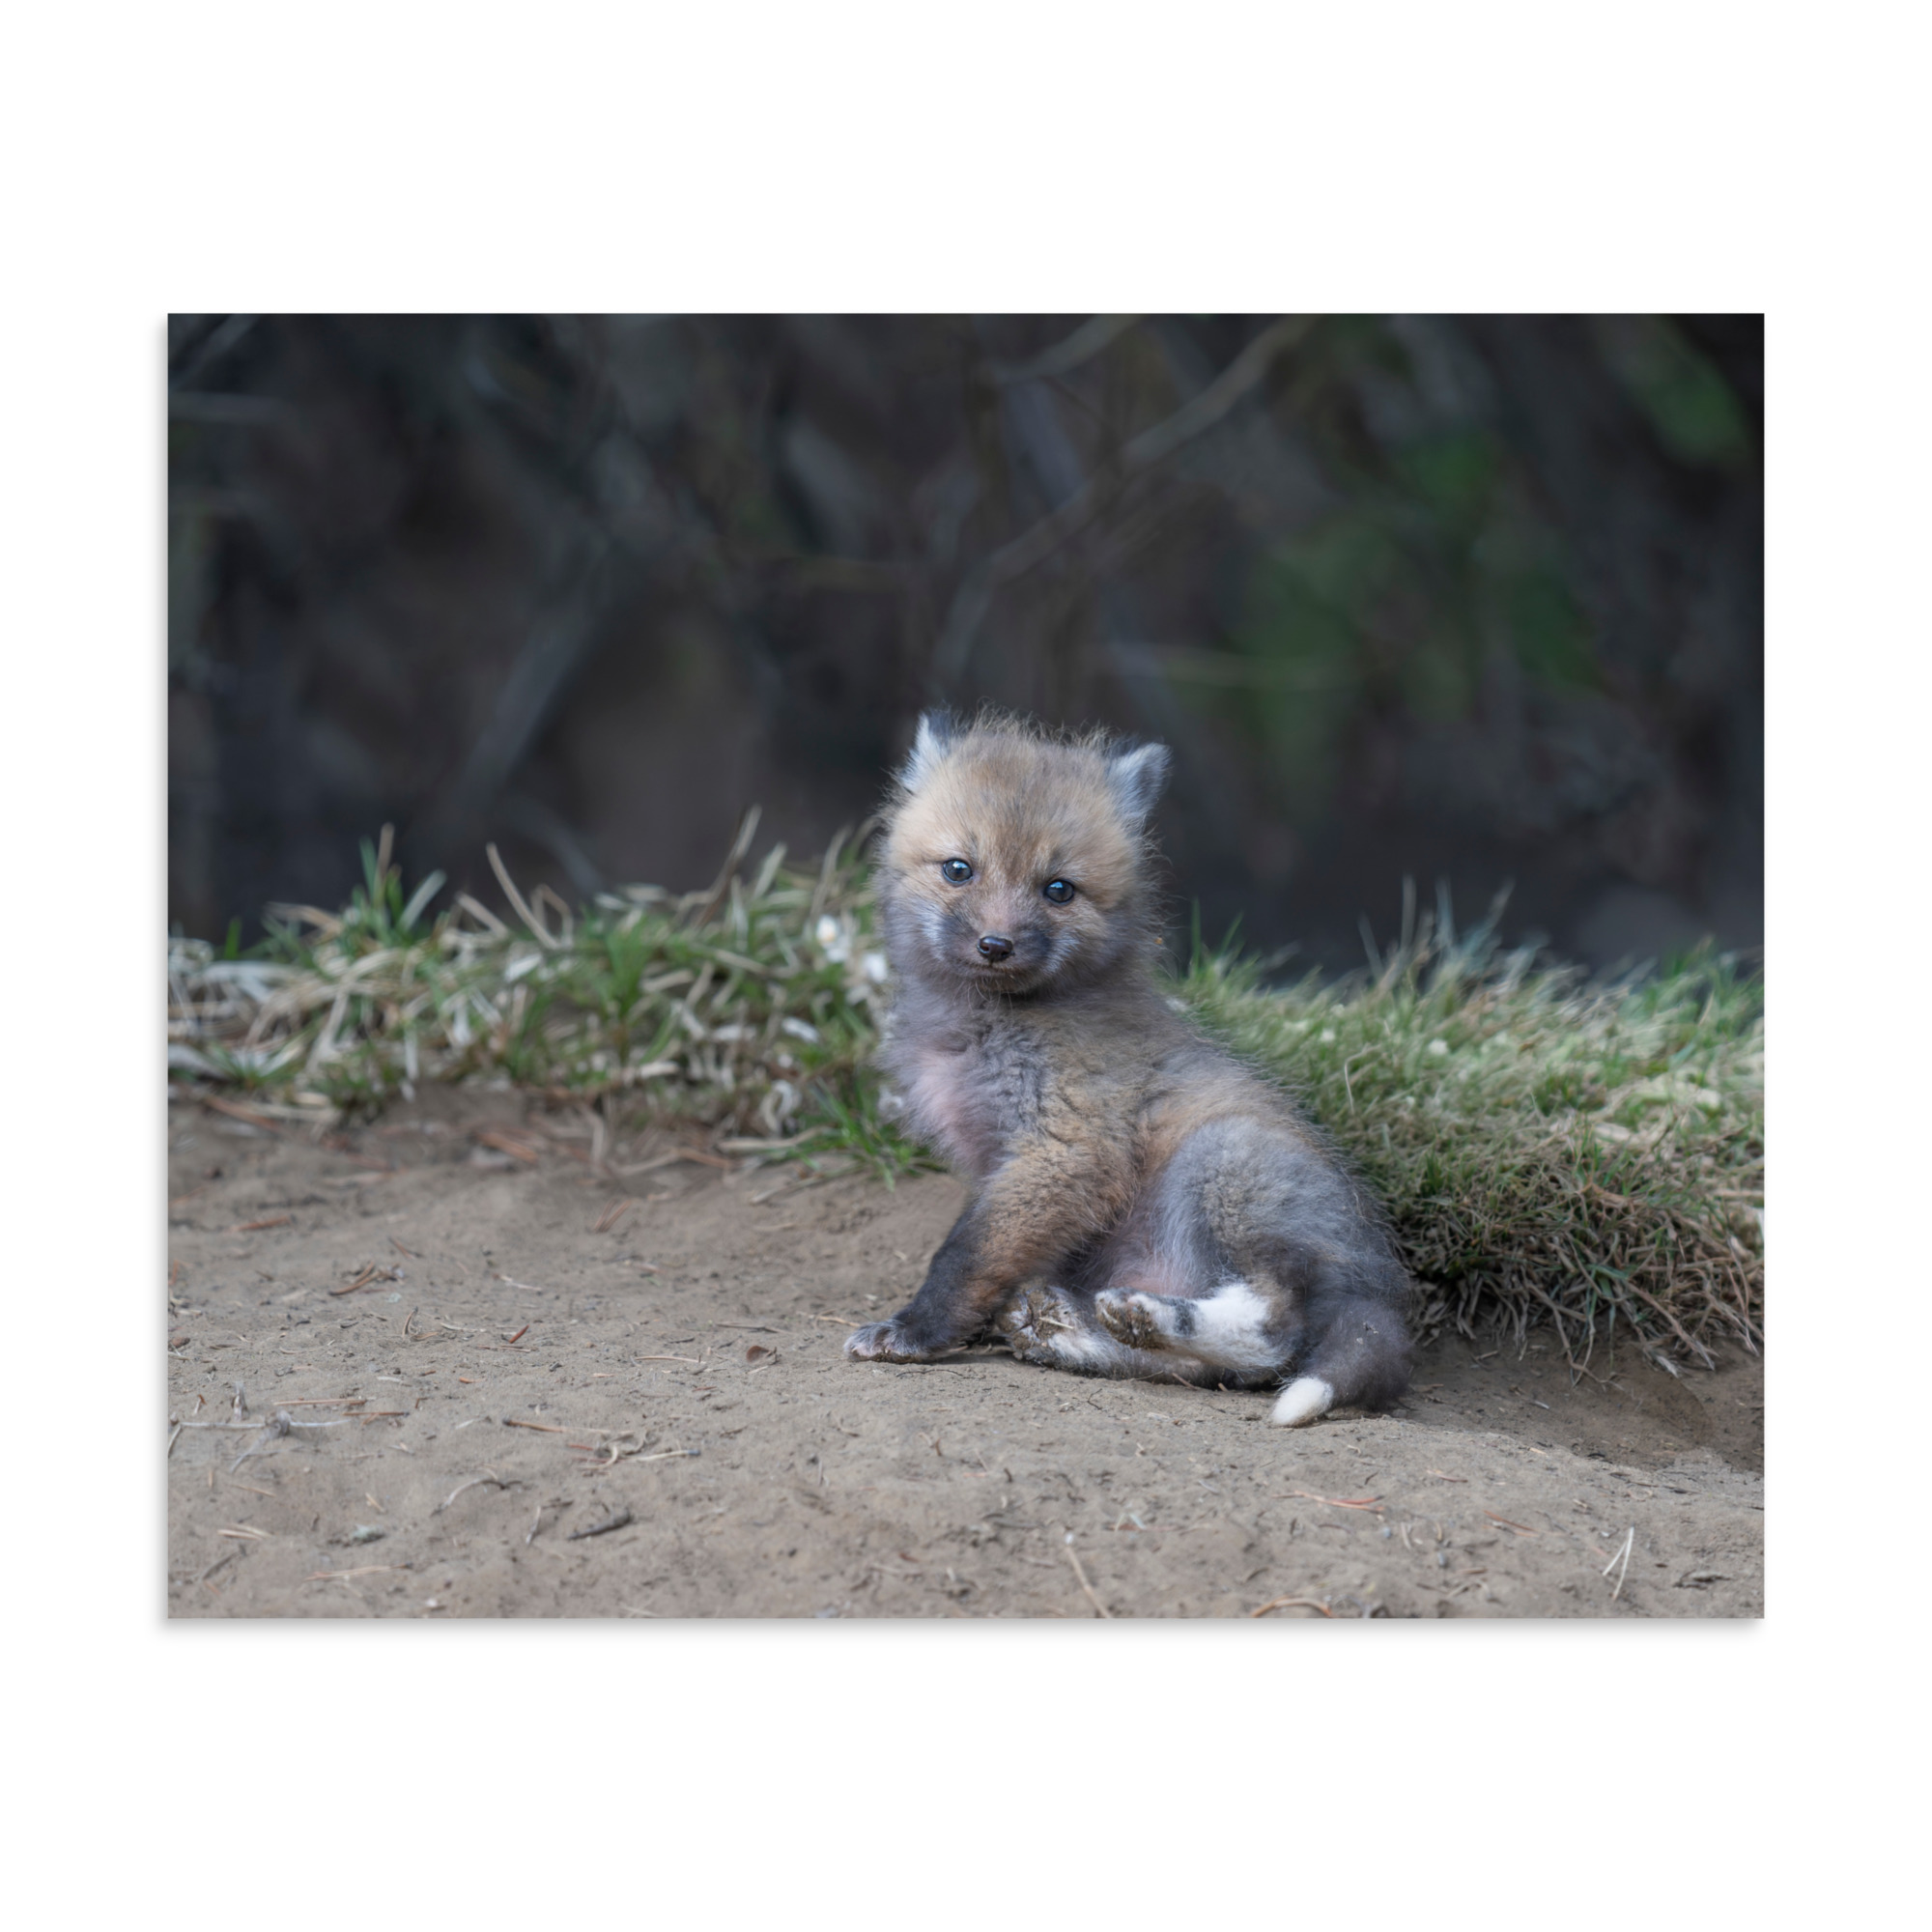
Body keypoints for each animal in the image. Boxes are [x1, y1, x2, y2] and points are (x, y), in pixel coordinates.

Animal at [844, 711, 1413, 1425]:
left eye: (1058, 889)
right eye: (958, 870)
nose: (995, 945)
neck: (988, 1026)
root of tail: (1381, 1289)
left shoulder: (1066, 1148)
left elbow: (965, 1255)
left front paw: (915, 1331)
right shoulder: (1005, 1164)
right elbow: (990, 1255)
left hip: (1221, 1163)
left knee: (1274, 1334)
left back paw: (1146, 1317)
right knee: (1206, 1370)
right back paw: (1074, 1331)